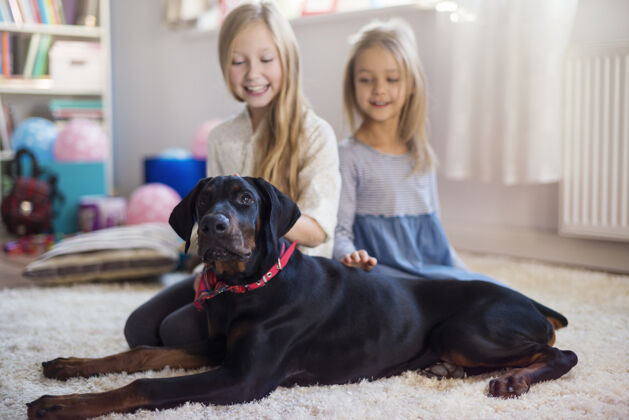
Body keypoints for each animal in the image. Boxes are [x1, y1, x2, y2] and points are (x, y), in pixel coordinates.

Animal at [27, 176, 576, 418]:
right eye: (203, 201)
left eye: (245, 200)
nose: (213, 226)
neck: (246, 288)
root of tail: (533, 303)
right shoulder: (218, 349)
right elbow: (141, 353)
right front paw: (69, 366)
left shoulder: (244, 378)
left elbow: (143, 385)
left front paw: (60, 405)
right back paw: (449, 370)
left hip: (468, 329)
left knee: (560, 352)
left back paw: (514, 381)